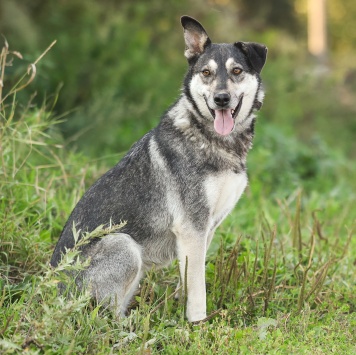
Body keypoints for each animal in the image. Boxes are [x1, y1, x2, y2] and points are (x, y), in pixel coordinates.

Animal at [50, 16, 268, 322]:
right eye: (206, 73)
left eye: (236, 71)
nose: (221, 99)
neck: (212, 139)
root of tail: (52, 294)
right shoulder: (192, 228)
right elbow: (198, 288)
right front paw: (198, 324)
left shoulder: (205, 230)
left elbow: (189, 279)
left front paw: (180, 308)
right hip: (124, 245)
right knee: (105, 316)